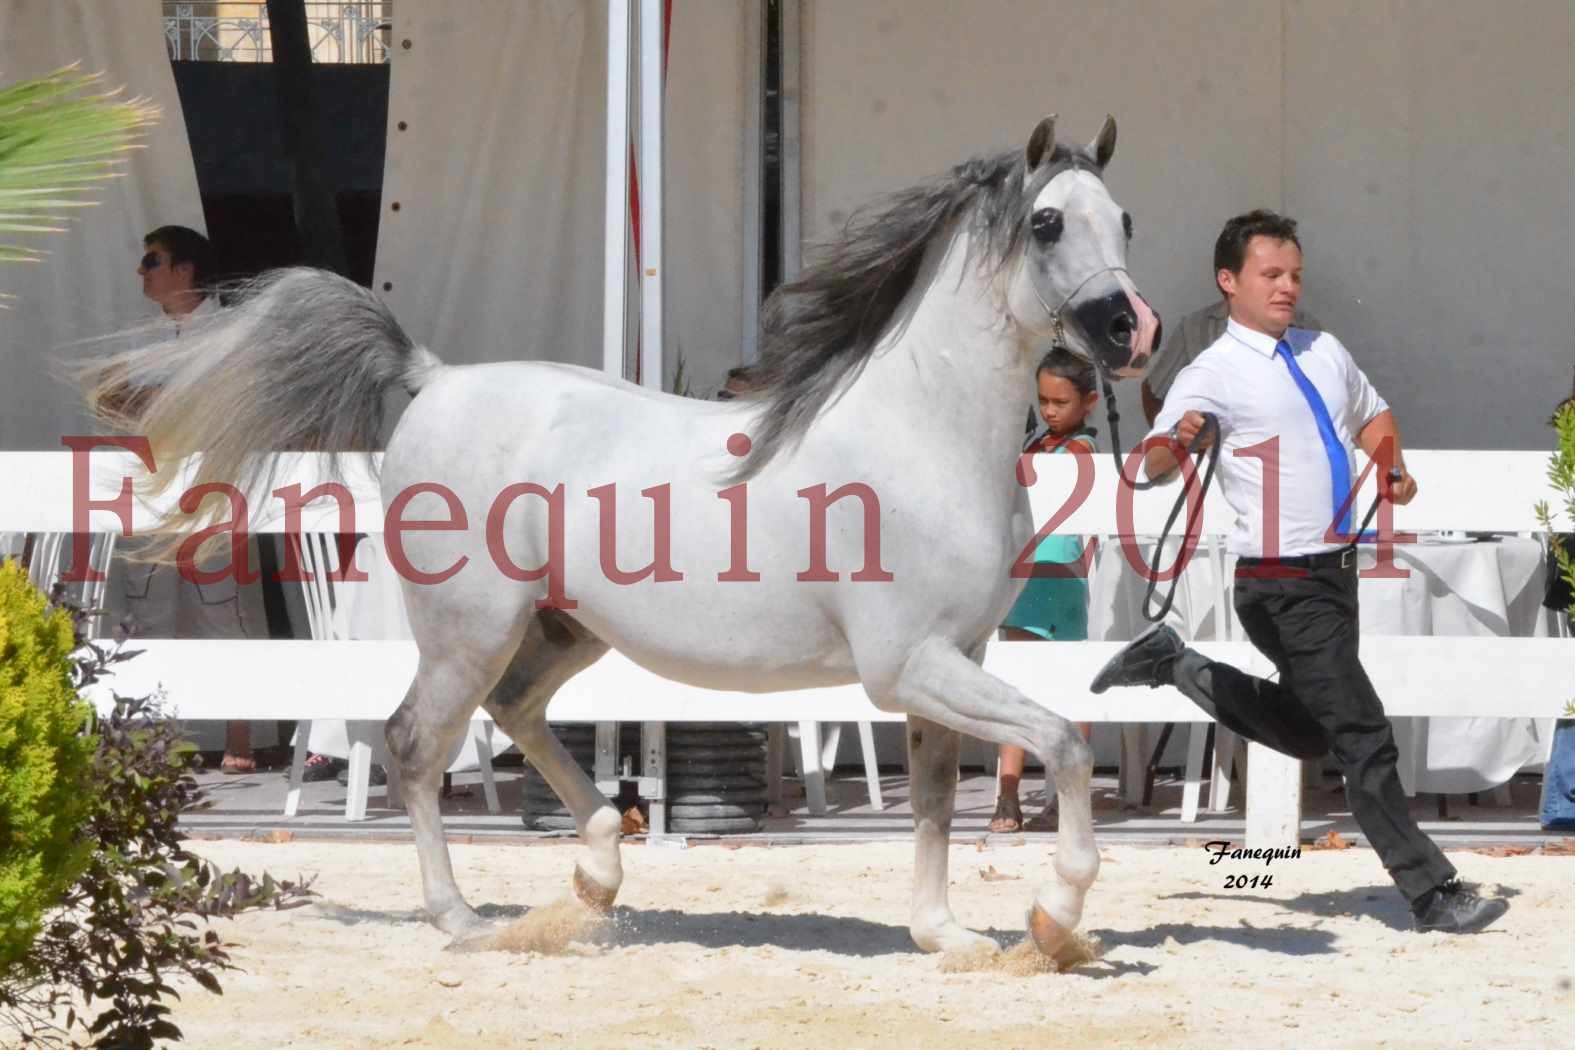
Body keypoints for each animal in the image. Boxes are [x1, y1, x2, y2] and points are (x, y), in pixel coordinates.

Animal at [92, 114, 1165, 963]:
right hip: (470, 630)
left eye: (1123, 219)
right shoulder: (908, 665)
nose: (1130, 330)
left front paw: (946, 934)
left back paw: (601, 870)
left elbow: (940, 799)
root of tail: (435, 379)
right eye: (1046, 222)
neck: (921, 432)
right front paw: (1056, 915)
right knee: (414, 744)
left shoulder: (956, 659)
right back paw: (462, 919)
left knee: (519, 715)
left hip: (564, 629)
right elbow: (1064, 744)